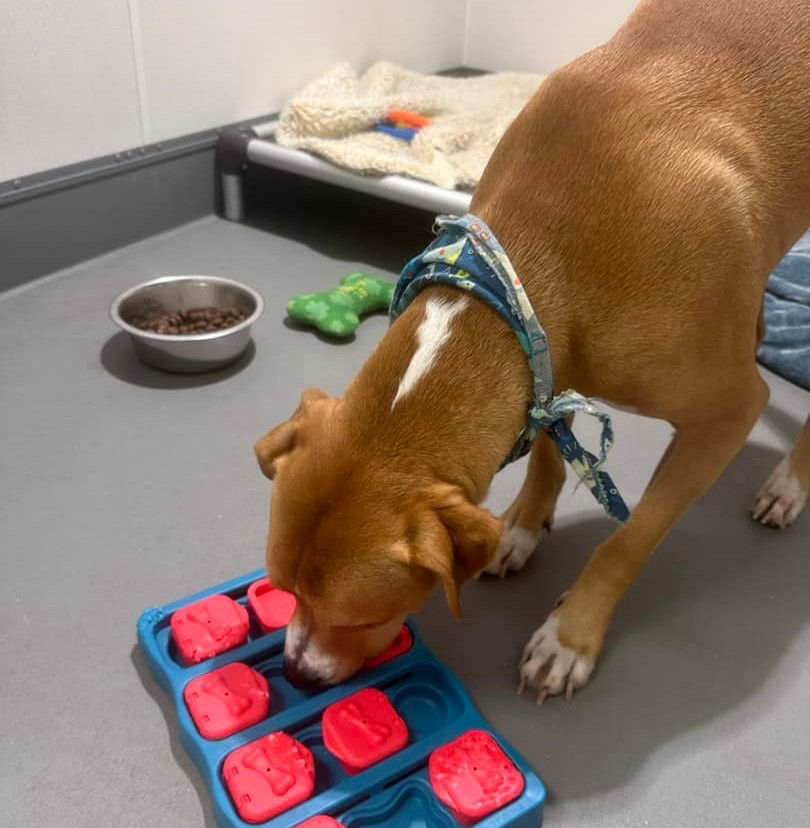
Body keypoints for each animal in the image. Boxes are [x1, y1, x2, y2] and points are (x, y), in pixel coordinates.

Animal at [254, 0, 808, 700]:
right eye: (284, 590)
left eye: (364, 618)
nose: (296, 674)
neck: (535, 253)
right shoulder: (545, 364)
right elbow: (548, 451)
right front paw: (518, 529)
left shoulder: (726, 416)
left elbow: (629, 539)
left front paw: (569, 636)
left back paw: (789, 485)